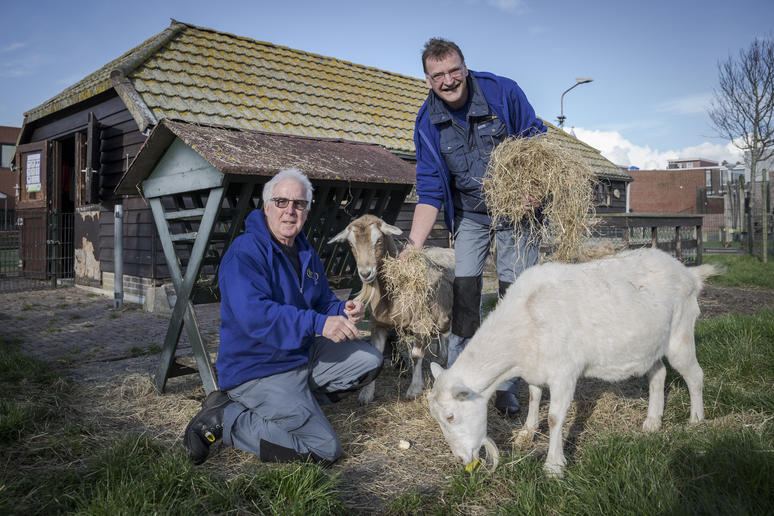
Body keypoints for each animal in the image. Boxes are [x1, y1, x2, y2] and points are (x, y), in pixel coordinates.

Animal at [328, 214, 454, 404]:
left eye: (379, 240)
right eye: (350, 244)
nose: (366, 273)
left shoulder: (420, 324)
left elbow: (416, 355)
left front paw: (414, 389)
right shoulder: (378, 325)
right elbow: (377, 355)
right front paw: (366, 394)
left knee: (448, 333)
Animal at [428, 248, 720, 478]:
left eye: (451, 416)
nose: (461, 459)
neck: (526, 319)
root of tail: (688, 273)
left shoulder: (564, 372)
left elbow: (555, 417)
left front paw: (554, 466)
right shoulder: (536, 368)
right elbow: (533, 396)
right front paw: (527, 432)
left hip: (680, 334)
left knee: (695, 375)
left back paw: (696, 420)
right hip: (649, 345)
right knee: (658, 374)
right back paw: (652, 422)